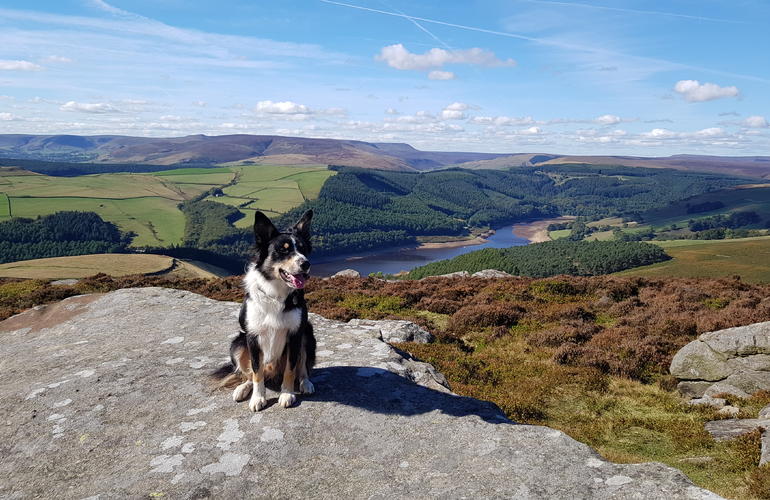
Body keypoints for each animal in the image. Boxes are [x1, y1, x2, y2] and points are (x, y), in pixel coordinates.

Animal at [210, 208, 316, 410]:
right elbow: (256, 372)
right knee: (248, 373)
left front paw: (287, 393)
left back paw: (305, 383)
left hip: (307, 334)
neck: (276, 293)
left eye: (303, 249)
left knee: (303, 367)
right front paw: (258, 398)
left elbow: (291, 368)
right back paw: (243, 388)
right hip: (238, 344)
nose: (306, 263)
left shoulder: (295, 334)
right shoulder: (252, 336)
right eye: (283, 250)